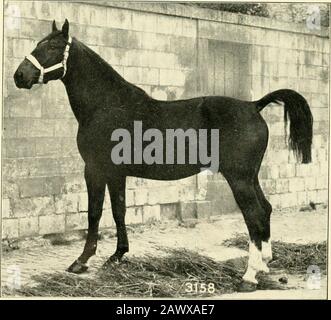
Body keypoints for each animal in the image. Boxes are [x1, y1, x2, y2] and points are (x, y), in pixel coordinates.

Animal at [13, 19, 314, 290]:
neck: (107, 104)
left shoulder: (96, 169)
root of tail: (254, 105)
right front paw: (117, 256)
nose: (19, 76)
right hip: (250, 176)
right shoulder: (116, 173)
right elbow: (119, 211)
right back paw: (264, 264)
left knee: (254, 214)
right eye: (38, 44)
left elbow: (95, 213)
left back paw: (249, 276)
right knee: (266, 209)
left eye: (53, 47)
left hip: (238, 178)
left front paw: (82, 261)